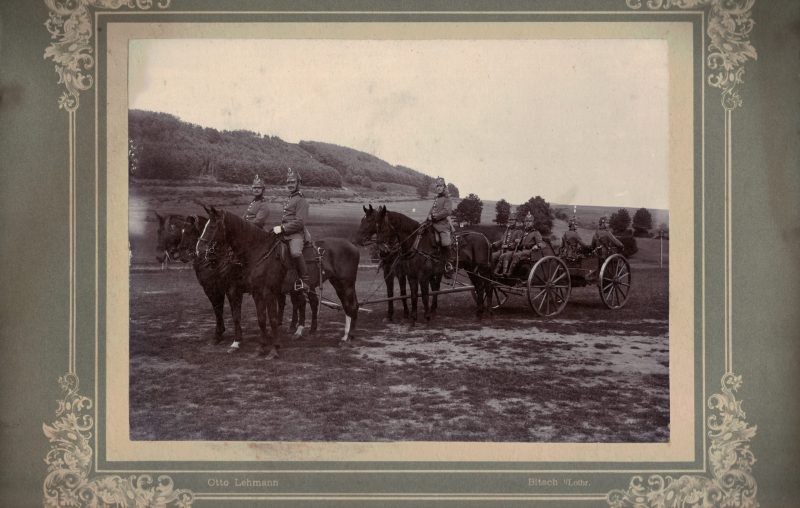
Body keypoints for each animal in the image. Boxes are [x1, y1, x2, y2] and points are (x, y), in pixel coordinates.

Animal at [198, 204, 360, 356]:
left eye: (212, 226)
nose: (199, 250)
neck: (258, 252)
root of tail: (353, 245)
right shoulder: (256, 293)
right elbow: (261, 319)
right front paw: (261, 347)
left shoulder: (265, 292)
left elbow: (272, 319)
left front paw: (274, 349)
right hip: (337, 284)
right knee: (345, 306)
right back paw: (344, 337)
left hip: (346, 284)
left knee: (351, 306)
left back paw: (348, 338)